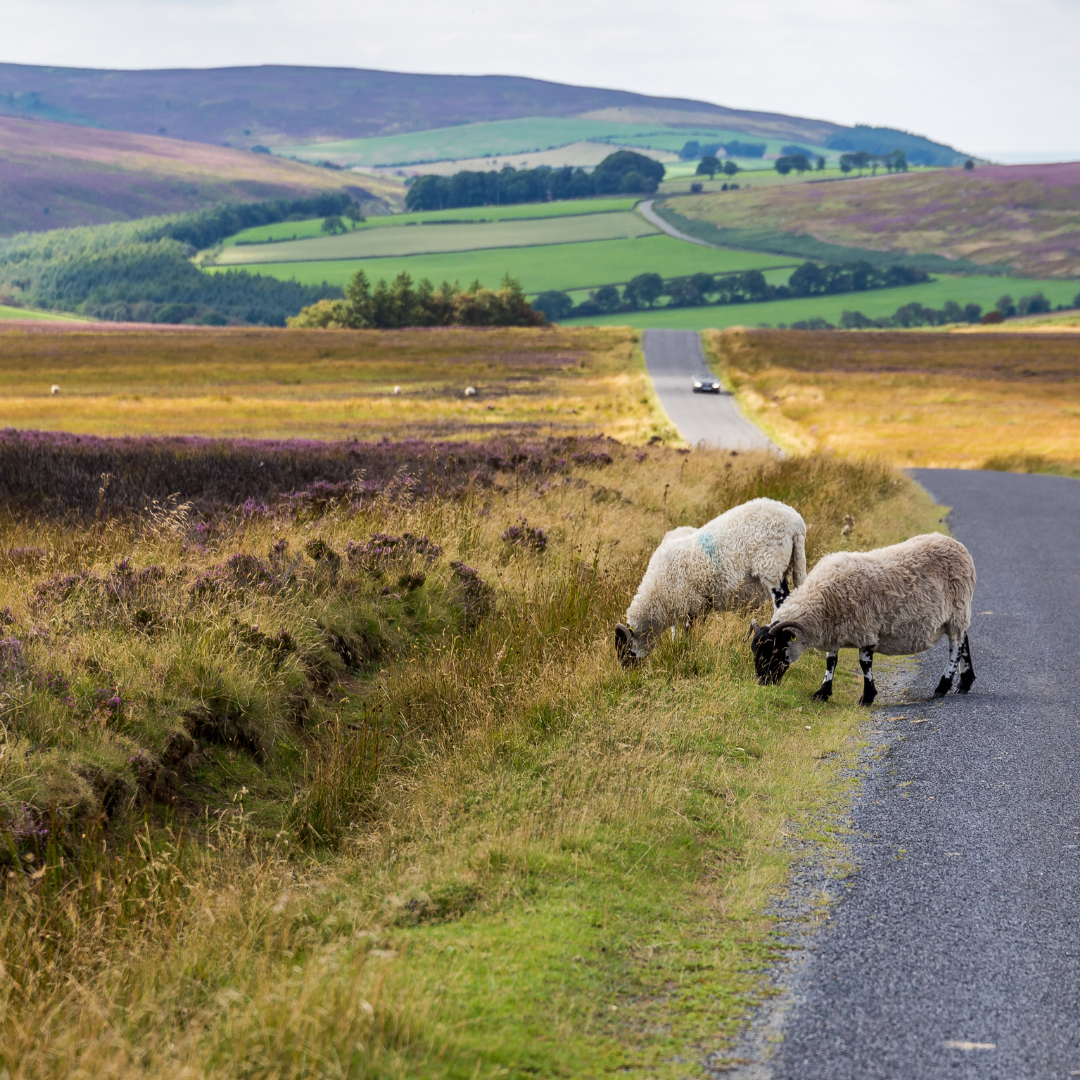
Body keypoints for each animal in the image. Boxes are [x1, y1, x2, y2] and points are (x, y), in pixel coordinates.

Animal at [615, 498, 806, 665]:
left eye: (623, 648)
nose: (628, 670)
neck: (657, 593)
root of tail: (796, 522)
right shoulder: (699, 604)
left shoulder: (690, 602)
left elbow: (688, 631)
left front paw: (687, 651)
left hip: (772, 567)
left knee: (781, 603)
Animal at [748, 532, 976, 705]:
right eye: (754, 651)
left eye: (774, 650)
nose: (763, 682)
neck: (820, 598)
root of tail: (958, 546)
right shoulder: (834, 630)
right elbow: (831, 661)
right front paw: (823, 692)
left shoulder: (865, 628)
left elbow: (864, 663)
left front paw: (866, 697)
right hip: (957, 614)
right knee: (964, 640)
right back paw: (964, 683)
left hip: (957, 610)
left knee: (955, 646)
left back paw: (942, 687)